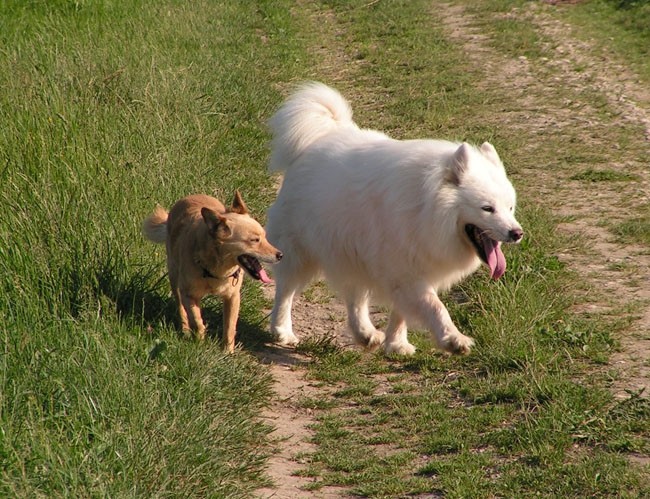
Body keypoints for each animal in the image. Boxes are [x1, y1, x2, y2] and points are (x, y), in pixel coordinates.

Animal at [143, 191, 280, 352]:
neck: (218, 270)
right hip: (174, 277)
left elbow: (230, 326)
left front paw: (227, 352)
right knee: (181, 307)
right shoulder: (189, 295)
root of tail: (190, 196)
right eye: (255, 240)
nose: (280, 255)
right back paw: (185, 329)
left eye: (265, 237)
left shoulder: (233, 297)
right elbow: (197, 320)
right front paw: (200, 342)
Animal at [264, 82, 520, 356]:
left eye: (510, 208)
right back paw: (283, 331)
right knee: (285, 291)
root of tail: (323, 137)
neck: (425, 209)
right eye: (487, 208)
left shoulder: (408, 271)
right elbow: (436, 307)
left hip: (352, 250)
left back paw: (365, 334)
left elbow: (401, 312)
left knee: (355, 296)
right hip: (299, 251)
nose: (517, 233)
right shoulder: (406, 271)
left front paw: (397, 344)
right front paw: (453, 339)